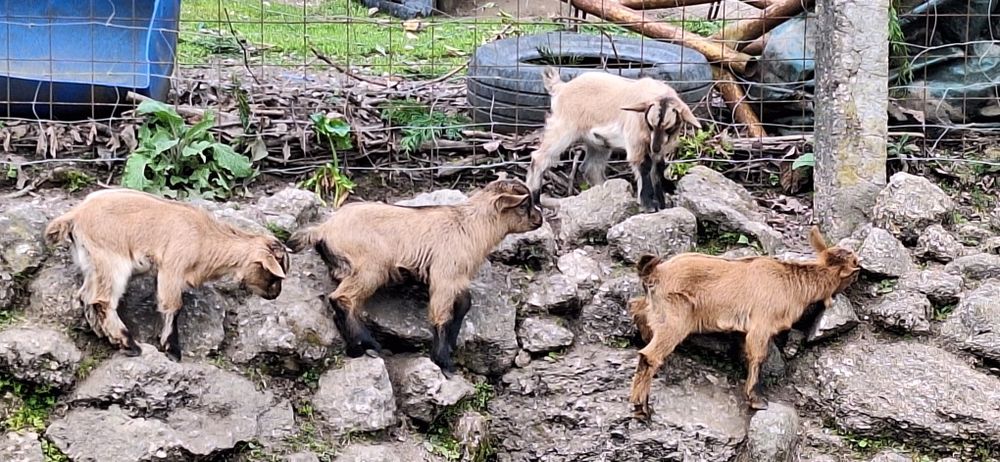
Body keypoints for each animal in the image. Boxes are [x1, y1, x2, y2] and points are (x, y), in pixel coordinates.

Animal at [44, 188, 290, 360]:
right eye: (275, 275)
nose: (276, 295)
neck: (204, 237)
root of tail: (75, 215)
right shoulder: (172, 267)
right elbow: (173, 306)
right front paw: (172, 350)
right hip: (111, 261)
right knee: (102, 300)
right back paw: (129, 344)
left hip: (92, 263)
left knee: (86, 296)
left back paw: (105, 335)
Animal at [286, 178, 544, 374]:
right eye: (524, 205)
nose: (539, 220)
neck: (470, 224)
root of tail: (323, 229)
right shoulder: (444, 276)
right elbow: (441, 314)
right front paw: (443, 361)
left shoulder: (457, 277)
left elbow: (464, 304)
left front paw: (451, 345)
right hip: (371, 267)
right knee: (342, 298)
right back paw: (369, 344)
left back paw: (355, 348)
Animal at [524, 67, 702, 213]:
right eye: (650, 125)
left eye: (669, 128)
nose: (655, 147)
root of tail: (561, 87)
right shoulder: (636, 141)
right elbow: (644, 166)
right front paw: (649, 205)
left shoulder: (660, 148)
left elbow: (657, 168)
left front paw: (661, 204)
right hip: (563, 129)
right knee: (540, 157)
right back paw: (535, 198)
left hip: (598, 143)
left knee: (591, 168)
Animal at [627, 226, 861, 417]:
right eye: (855, 266)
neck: (791, 283)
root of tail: (655, 273)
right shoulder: (762, 324)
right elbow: (758, 356)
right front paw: (755, 399)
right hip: (676, 318)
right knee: (650, 355)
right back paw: (641, 408)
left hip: (655, 310)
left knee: (637, 311)